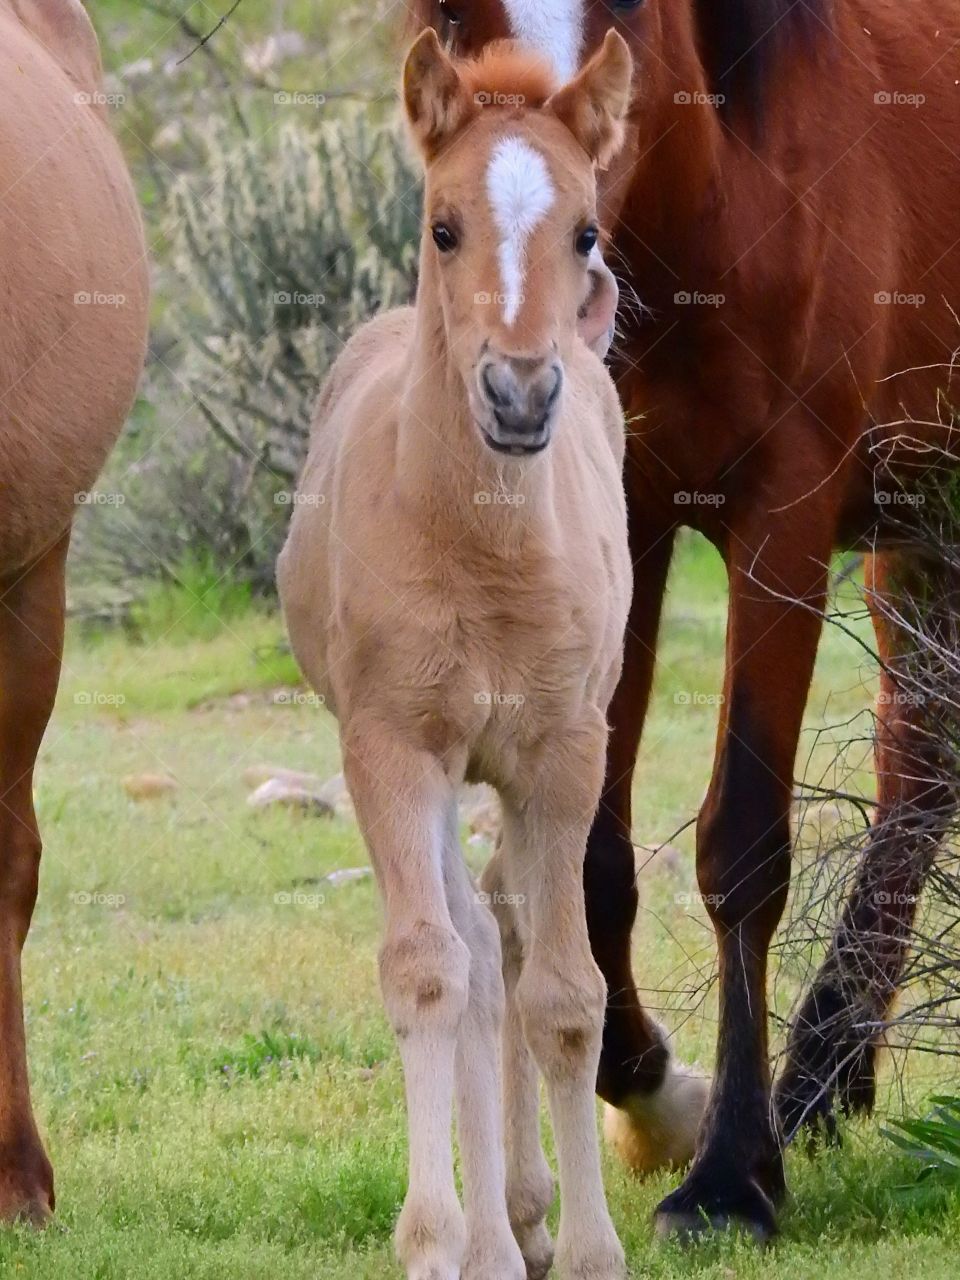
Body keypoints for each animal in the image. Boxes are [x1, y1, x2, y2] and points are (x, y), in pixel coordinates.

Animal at [280, 30, 640, 1280]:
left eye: (585, 230)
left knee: (511, 937)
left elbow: (568, 992)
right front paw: (438, 1238)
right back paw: (492, 1230)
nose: (520, 394)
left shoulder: (565, 751)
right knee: (476, 949)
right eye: (443, 225)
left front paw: (589, 1246)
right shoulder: (392, 746)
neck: (484, 549)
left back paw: (524, 1212)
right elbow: (430, 969)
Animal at [409, 0, 960, 1239]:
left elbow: (743, 841)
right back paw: (825, 1070)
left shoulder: (783, 522)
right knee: (921, 759)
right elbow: (586, 852)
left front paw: (729, 1174)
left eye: (626, 20)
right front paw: (652, 1086)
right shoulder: (624, 519)